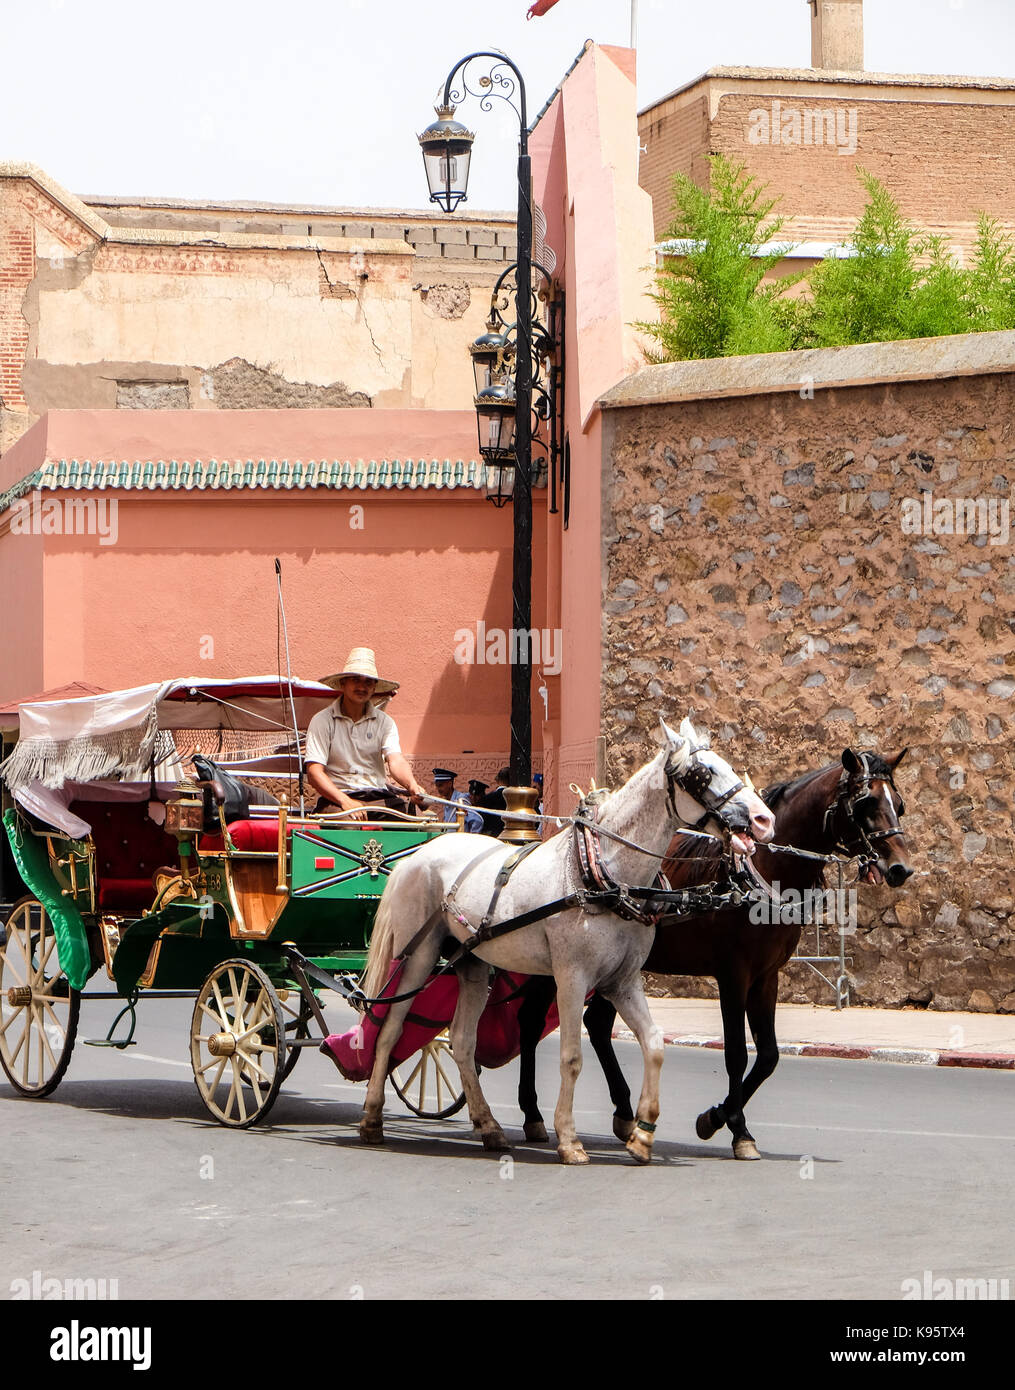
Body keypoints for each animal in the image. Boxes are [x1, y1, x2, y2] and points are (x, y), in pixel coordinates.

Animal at [358, 717, 773, 1162]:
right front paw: (569, 1139)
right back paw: (372, 1118)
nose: (764, 820)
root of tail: (418, 855)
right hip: (417, 956)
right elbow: (572, 1055)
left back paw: (489, 1126)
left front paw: (642, 1134)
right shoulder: (573, 977)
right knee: (389, 1030)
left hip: (473, 962)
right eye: (703, 773)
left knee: (464, 1043)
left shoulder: (622, 980)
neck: (602, 875)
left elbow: (654, 1043)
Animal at [517, 756, 912, 1156]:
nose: (901, 868)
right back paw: (532, 1114)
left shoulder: (767, 976)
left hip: (615, 968)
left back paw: (625, 1112)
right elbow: (736, 1052)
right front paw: (735, 1128)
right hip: (556, 966)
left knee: (596, 1024)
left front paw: (717, 1117)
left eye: (899, 804)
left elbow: (768, 1056)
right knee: (531, 1021)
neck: (762, 873)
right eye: (865, 804)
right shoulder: (734, 974)